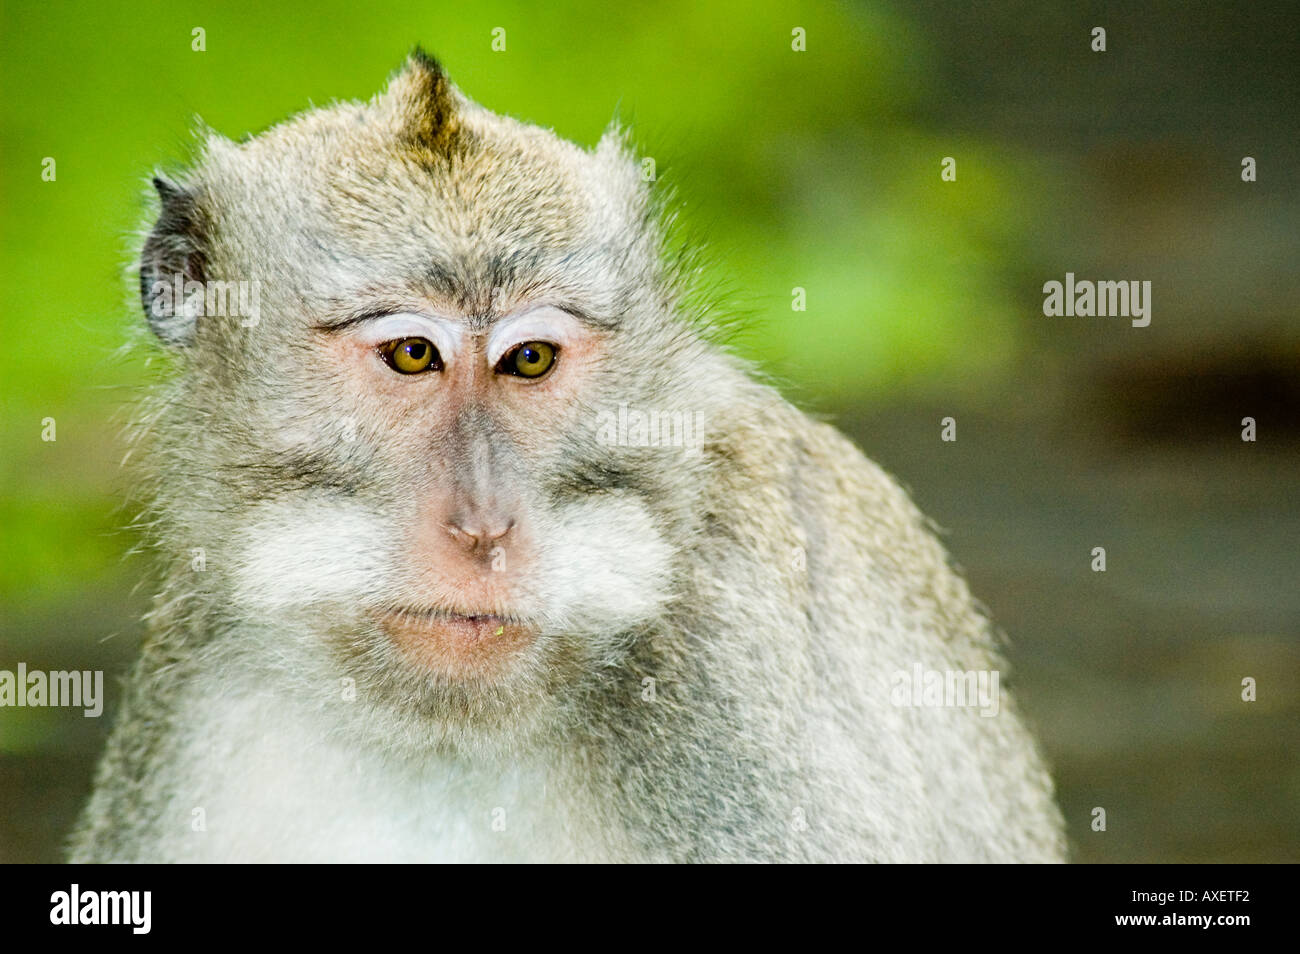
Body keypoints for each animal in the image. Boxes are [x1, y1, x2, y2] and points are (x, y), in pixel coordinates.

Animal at [68, 48, 1066, 863]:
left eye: (530, 359)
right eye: (413, 354)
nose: (484, 527)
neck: (445, 731)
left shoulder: (726, 672)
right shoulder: (198, 679)